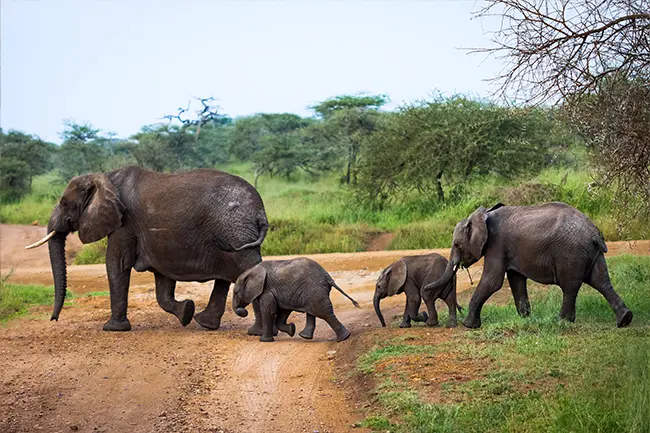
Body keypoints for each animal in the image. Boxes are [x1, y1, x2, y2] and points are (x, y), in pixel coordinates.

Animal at [24, 165, 268, 330]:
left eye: (65, 203)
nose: (53, 319)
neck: (106, 177)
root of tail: (260, 211)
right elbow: (163, 284)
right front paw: (186, 312)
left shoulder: (124, 223)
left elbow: (116, 264)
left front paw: (112, 329)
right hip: (233, 234)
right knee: (226, 276)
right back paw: (204, 323)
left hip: (235, 232)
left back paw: (256, 332)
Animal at [230, 256, 360, 340]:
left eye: (236, 293)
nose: (242, 310)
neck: (252, 270)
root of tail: (328, 277)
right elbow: (283, 311)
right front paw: (292, 329)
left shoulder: (267, 290)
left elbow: (268, 310)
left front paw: (264, 341)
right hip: (313, 292)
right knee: (313, 312)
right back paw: (305, 336)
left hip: (314, 290)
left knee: (323, 312)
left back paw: (344, 338)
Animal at [422, 202, 632, 328]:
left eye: (457, 245)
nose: (424, 287)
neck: (484, 213)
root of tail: (594, 231)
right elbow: (516, 280)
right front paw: (525, 318)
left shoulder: (497, 244)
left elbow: (492, 281)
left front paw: (468, 325)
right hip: (591, 253)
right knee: (601, 281)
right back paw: (625, 319)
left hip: (571, 253)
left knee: (570, 286)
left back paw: (562, 321)